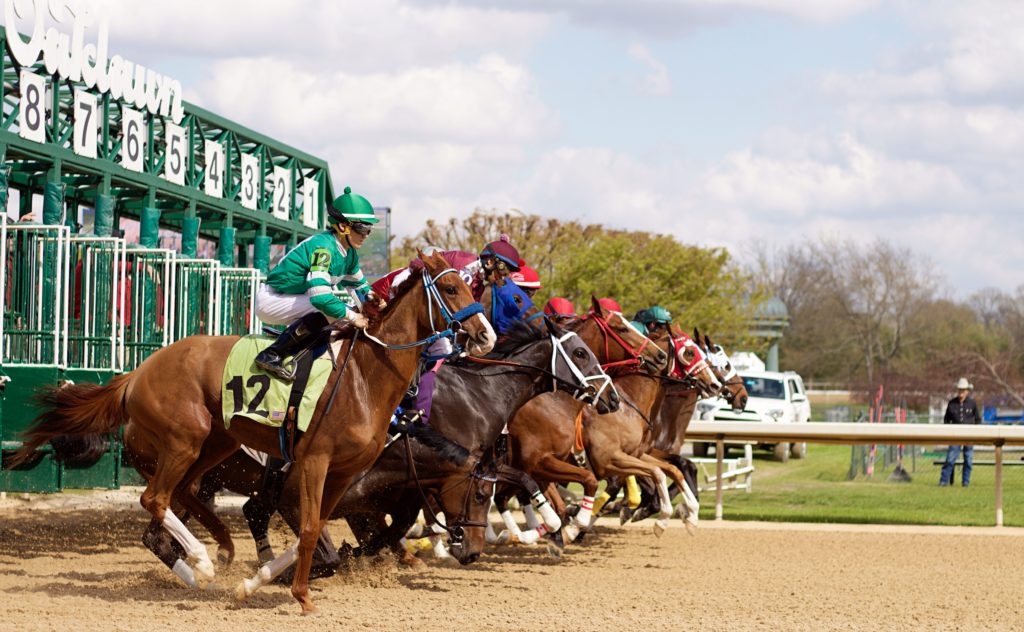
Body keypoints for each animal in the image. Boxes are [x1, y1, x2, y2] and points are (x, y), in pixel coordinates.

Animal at [12, 250, 495, 610]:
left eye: (471, 286)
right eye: (451, 288)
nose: (486, 336)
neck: (363, 377)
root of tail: (136, 373)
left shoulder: (341, 474)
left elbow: (311, 533)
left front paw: (255, 583)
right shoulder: (313, 463)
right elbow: (309, 531)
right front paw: (302, 597)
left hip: (215, 445)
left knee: (175, 502)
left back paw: (210, 562)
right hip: (185, 440)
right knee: (156, 499)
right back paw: (203, 562)